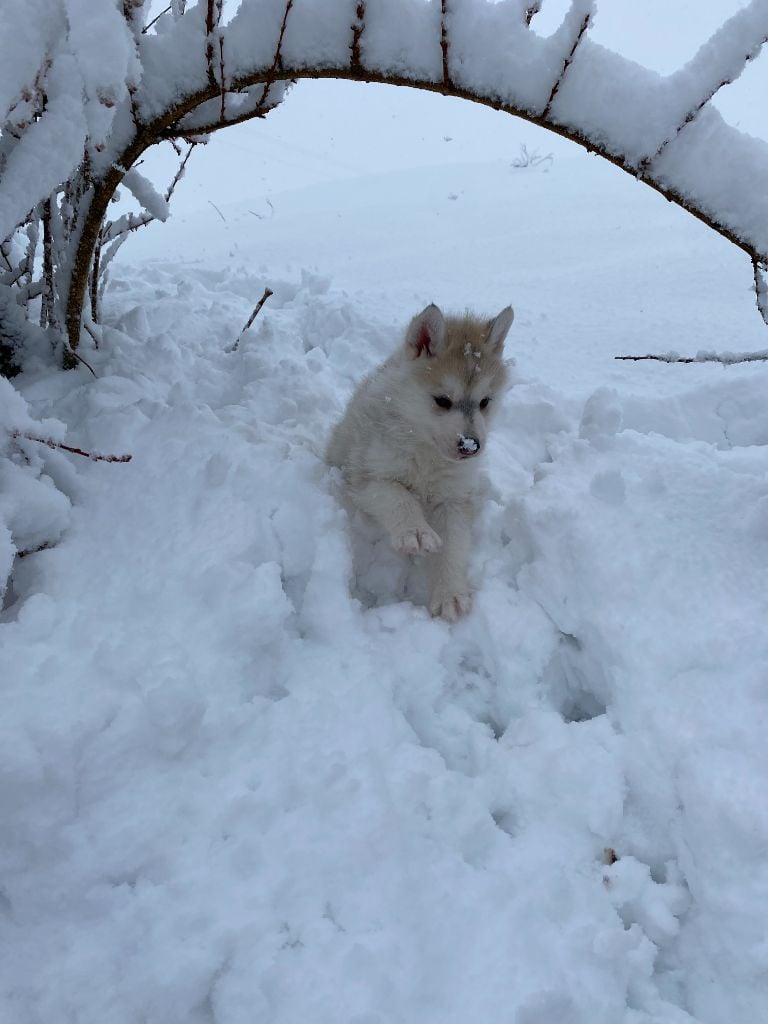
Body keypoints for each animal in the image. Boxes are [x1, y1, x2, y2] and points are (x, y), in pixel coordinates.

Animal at [327, 301, 514, 622]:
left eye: (485, 402)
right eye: (442, 400)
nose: (471, 446)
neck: (427, 453)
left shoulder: (455, 498)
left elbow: (454, 545)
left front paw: (450, 594)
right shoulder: (367, 475)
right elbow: (398, 497)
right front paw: (416, 531)